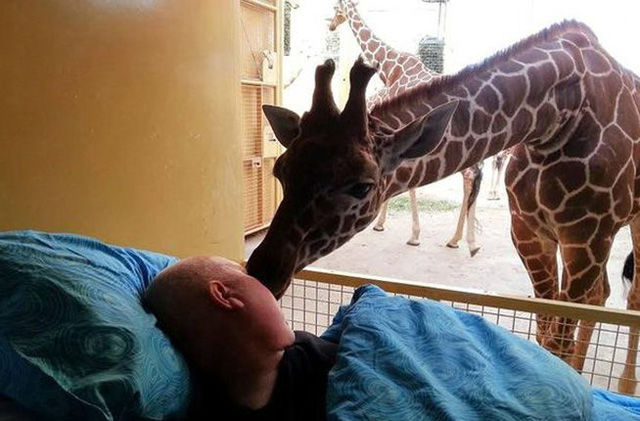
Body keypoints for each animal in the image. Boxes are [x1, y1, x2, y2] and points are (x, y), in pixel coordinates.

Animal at [329, 0, 483, 253]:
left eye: (335, 9)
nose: (331, 25)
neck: (390, 68)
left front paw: (413, 235)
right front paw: (384, 224)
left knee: (471, 175)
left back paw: (462, 240)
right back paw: (461, 239)